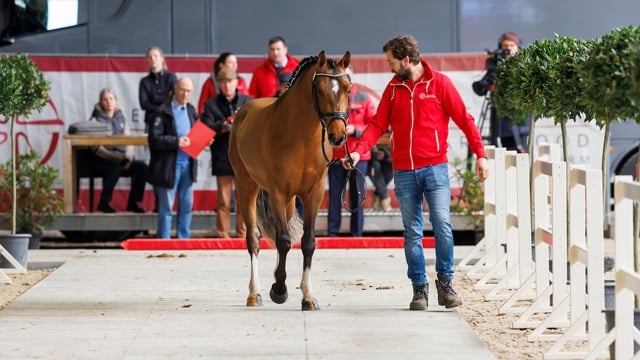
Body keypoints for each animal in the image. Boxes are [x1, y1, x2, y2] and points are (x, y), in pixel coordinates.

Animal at [229, 50, 352, 310]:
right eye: (320, 90)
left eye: (348, 89)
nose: (338, 136)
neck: (301, 137)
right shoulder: (277, 192)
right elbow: (284, 240)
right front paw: (279, 289)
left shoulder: (314, 194)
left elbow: (308, 242)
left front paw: (308, 297)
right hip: (247, 187)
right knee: (253, 239)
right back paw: (255, 294)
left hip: (290, 200)